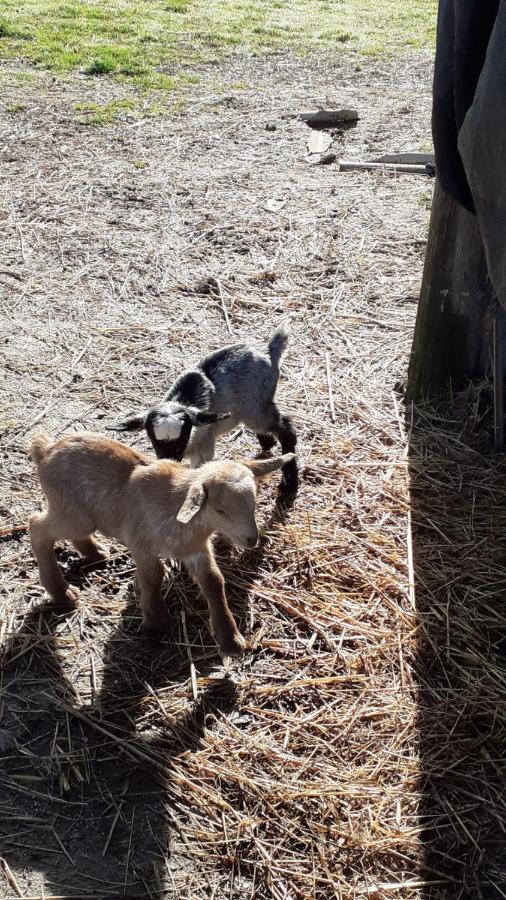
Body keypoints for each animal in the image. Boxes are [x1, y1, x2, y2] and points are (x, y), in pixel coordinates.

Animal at [28, 432, 292, 656]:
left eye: (254, 504)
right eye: (220, 510)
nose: (251, 539)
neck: (177, 509)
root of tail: (45, 450)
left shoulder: (196, 550)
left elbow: (214, 581)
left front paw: (231, 640)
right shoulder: (141, 543)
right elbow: (154, 575)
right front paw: (156, 621)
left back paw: (97, 553)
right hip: (73, 512)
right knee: (37, 526)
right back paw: (61, 592)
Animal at [106, 324, 296, 492]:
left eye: (182, 438)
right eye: (155, 441)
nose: (171, 458)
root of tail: (269, 350)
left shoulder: (204, 449)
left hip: (255, 407)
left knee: (285, 428)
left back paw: (288, 483)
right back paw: (268, 444)